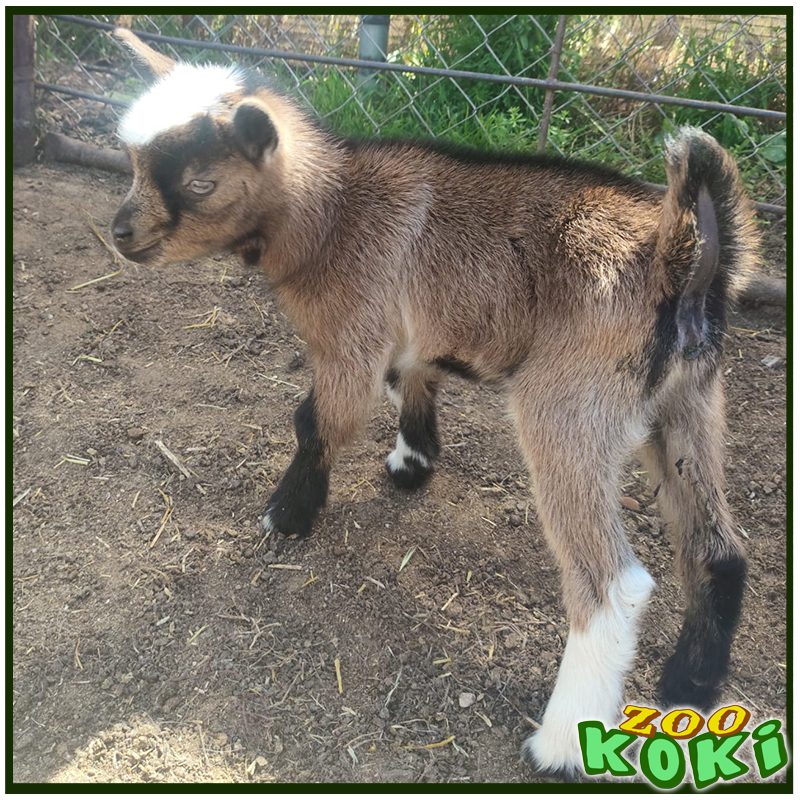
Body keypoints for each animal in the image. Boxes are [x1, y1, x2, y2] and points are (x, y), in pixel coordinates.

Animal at [110, 29, 759, 777]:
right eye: (133, 161)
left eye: (199, 183)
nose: (120, 233)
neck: (331, 211)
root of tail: (678, 259)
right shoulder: (412, 328)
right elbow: (412, 381)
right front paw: (412, 464)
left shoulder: (350, 336)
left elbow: (316, 422)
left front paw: (288, 515)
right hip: (689, 402)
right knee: (718, 549)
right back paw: (691, 686)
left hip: (569, 408)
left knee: (612, 585)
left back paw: (561, 745)